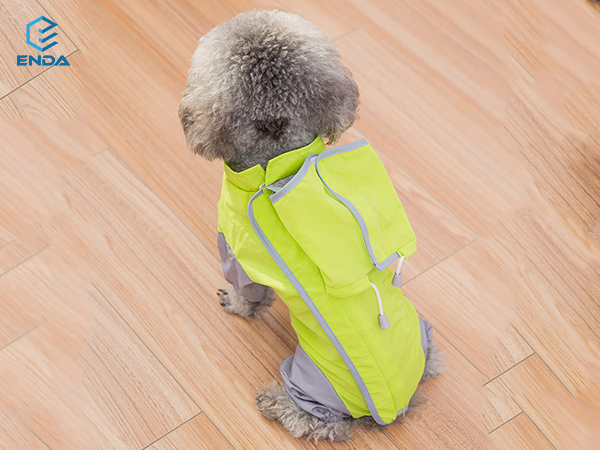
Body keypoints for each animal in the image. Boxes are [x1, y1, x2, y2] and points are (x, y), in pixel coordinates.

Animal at [179, 10, 446, 442]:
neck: (277, 161)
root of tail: (398, 407)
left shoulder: (235, 252)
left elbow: (247, 292)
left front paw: (236, 304)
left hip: (313, 381)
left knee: (318, 423)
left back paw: (275, 402)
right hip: (424, 337)